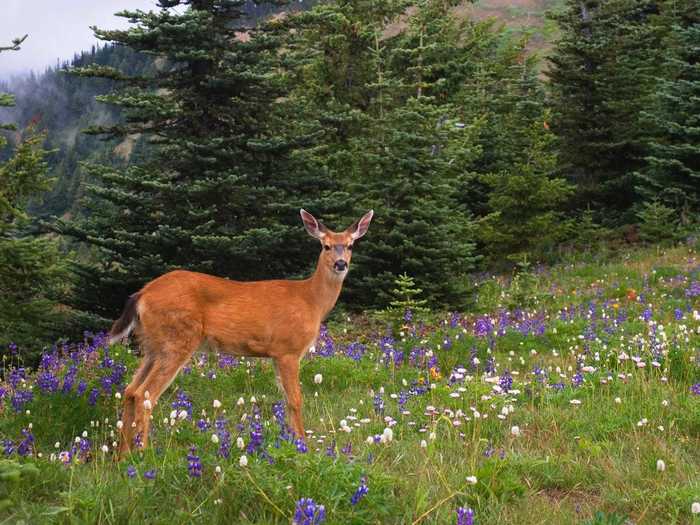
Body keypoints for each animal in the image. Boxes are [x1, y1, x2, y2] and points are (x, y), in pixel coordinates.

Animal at [108, 207, 372, 456]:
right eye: (326, 246)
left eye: (350, 245)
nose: (341, 263)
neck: (311, 301)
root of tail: (142, 294)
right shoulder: (288, 349)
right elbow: (295, 400)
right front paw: (302, 445)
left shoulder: (276, 354)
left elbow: (286, 400)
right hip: (177, 339)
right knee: (145, 394)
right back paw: (142, 454)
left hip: (153, 345)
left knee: (130, 390)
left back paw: (122, 456)